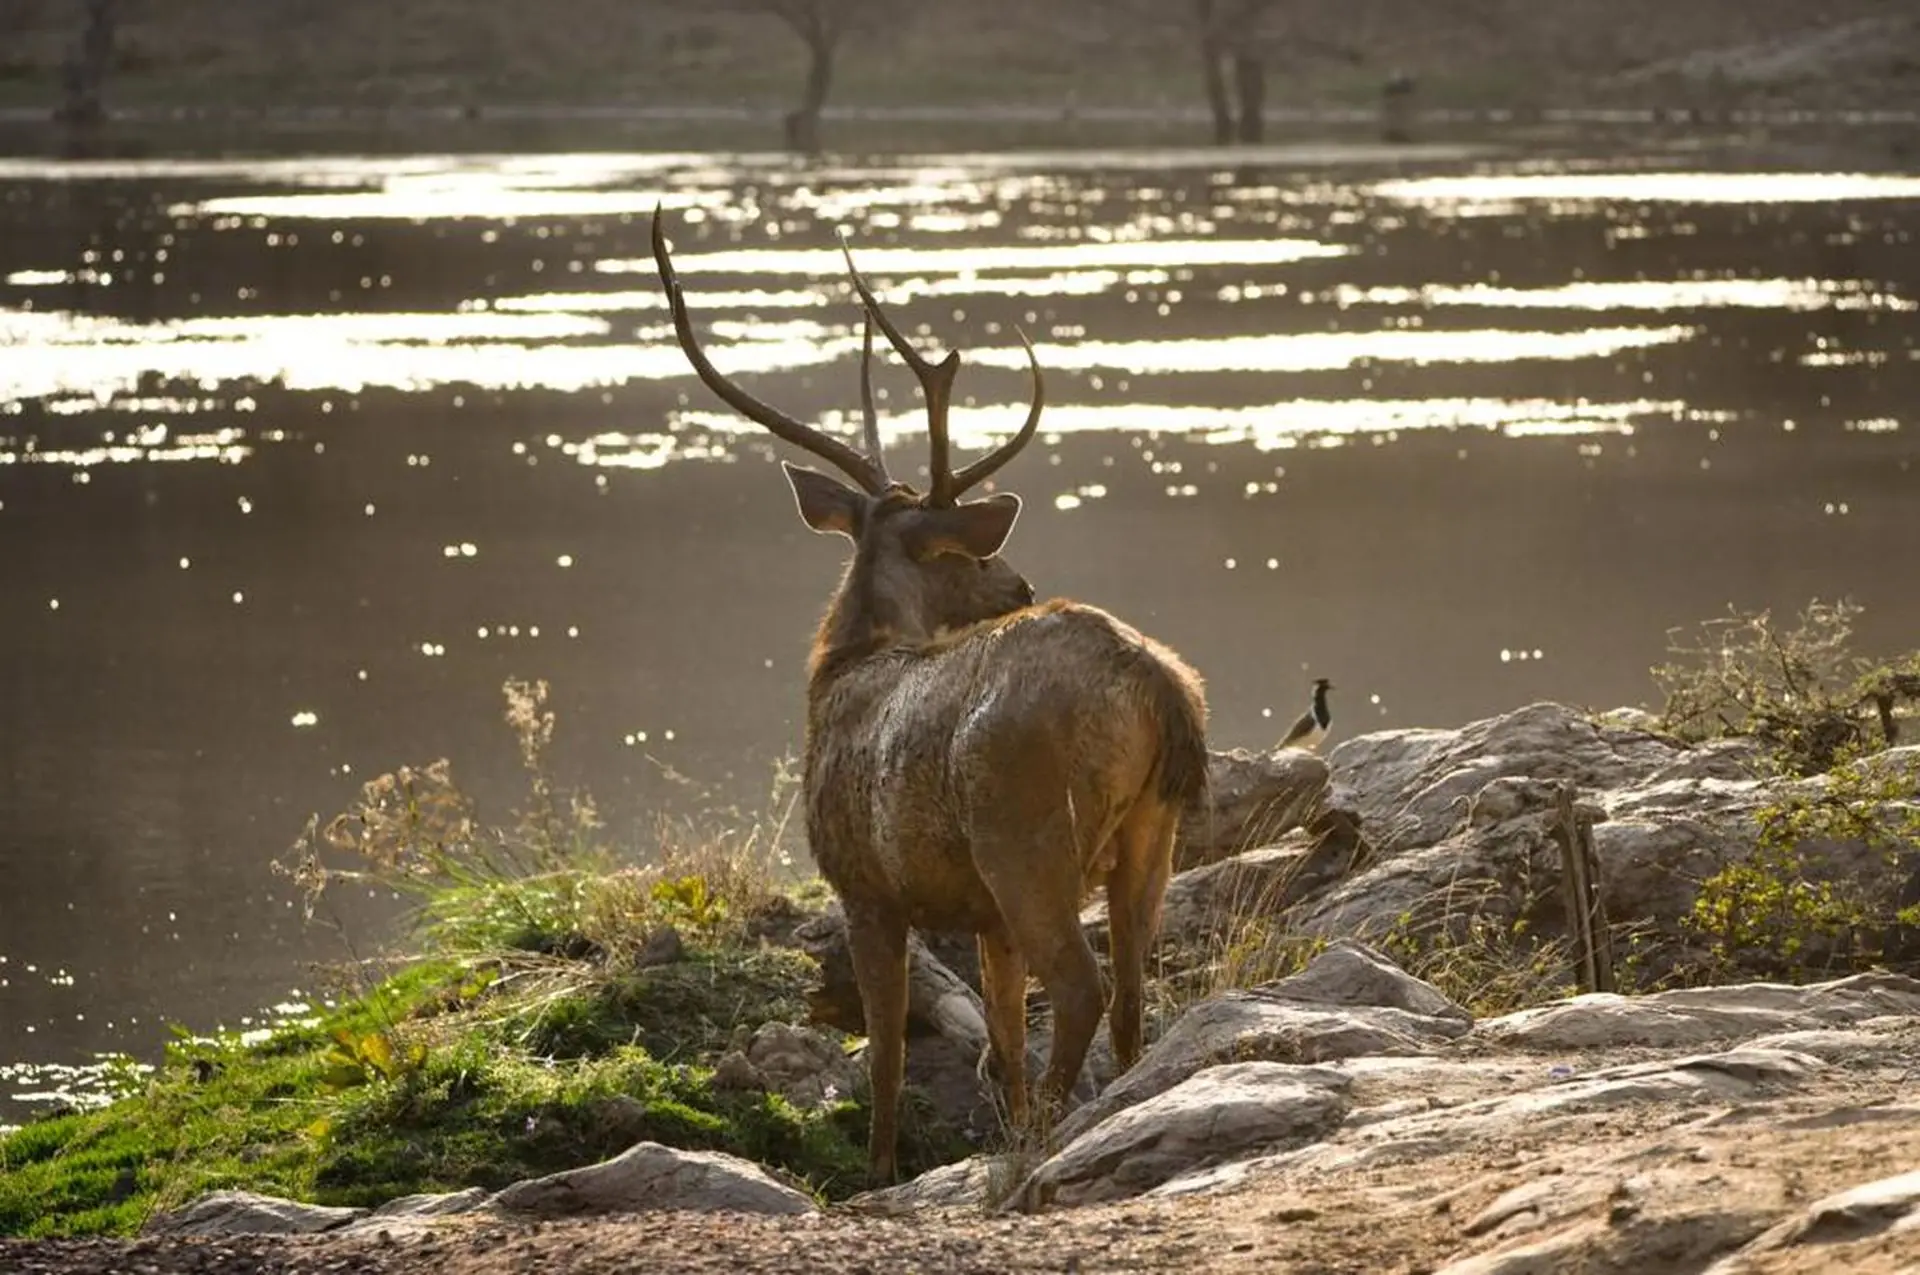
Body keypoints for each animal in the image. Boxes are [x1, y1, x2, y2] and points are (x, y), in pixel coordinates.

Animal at [650, 210, 1210, 1184]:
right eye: (961, 553)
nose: (1018, 581)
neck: (841, 669)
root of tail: (1158, 682)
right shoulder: (981, 912)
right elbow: (1000, 1033)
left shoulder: (864, 884)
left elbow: (886, 1048)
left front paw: (877, 1170)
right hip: (1152, 829)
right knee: (1136, 987)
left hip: (1025, 830)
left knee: (1084, 983)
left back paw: (1046, 1134)